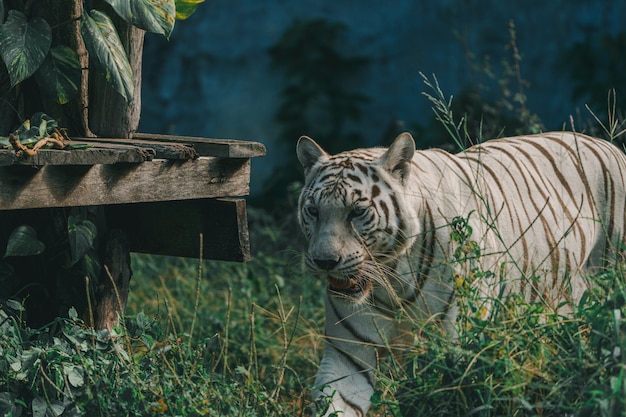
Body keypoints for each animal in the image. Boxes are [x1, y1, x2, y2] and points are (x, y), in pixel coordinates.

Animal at [294, 131, 624, 416]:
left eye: (357, 212)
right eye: (313, 211)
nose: (325, 261)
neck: (393, 277)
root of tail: (606, 143)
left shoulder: (457, 347)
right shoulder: (348, 355)